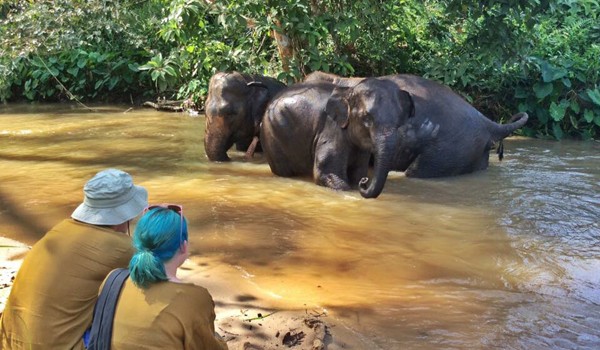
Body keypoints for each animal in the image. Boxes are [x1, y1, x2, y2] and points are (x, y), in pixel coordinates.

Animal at [260, 80, 438, 200]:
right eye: (366, 118)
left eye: (399, 123)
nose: (365, 182)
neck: (349, 91)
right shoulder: (331, 130)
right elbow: (326, 173)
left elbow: (357, 172)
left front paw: (358, 180)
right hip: (271, 134)